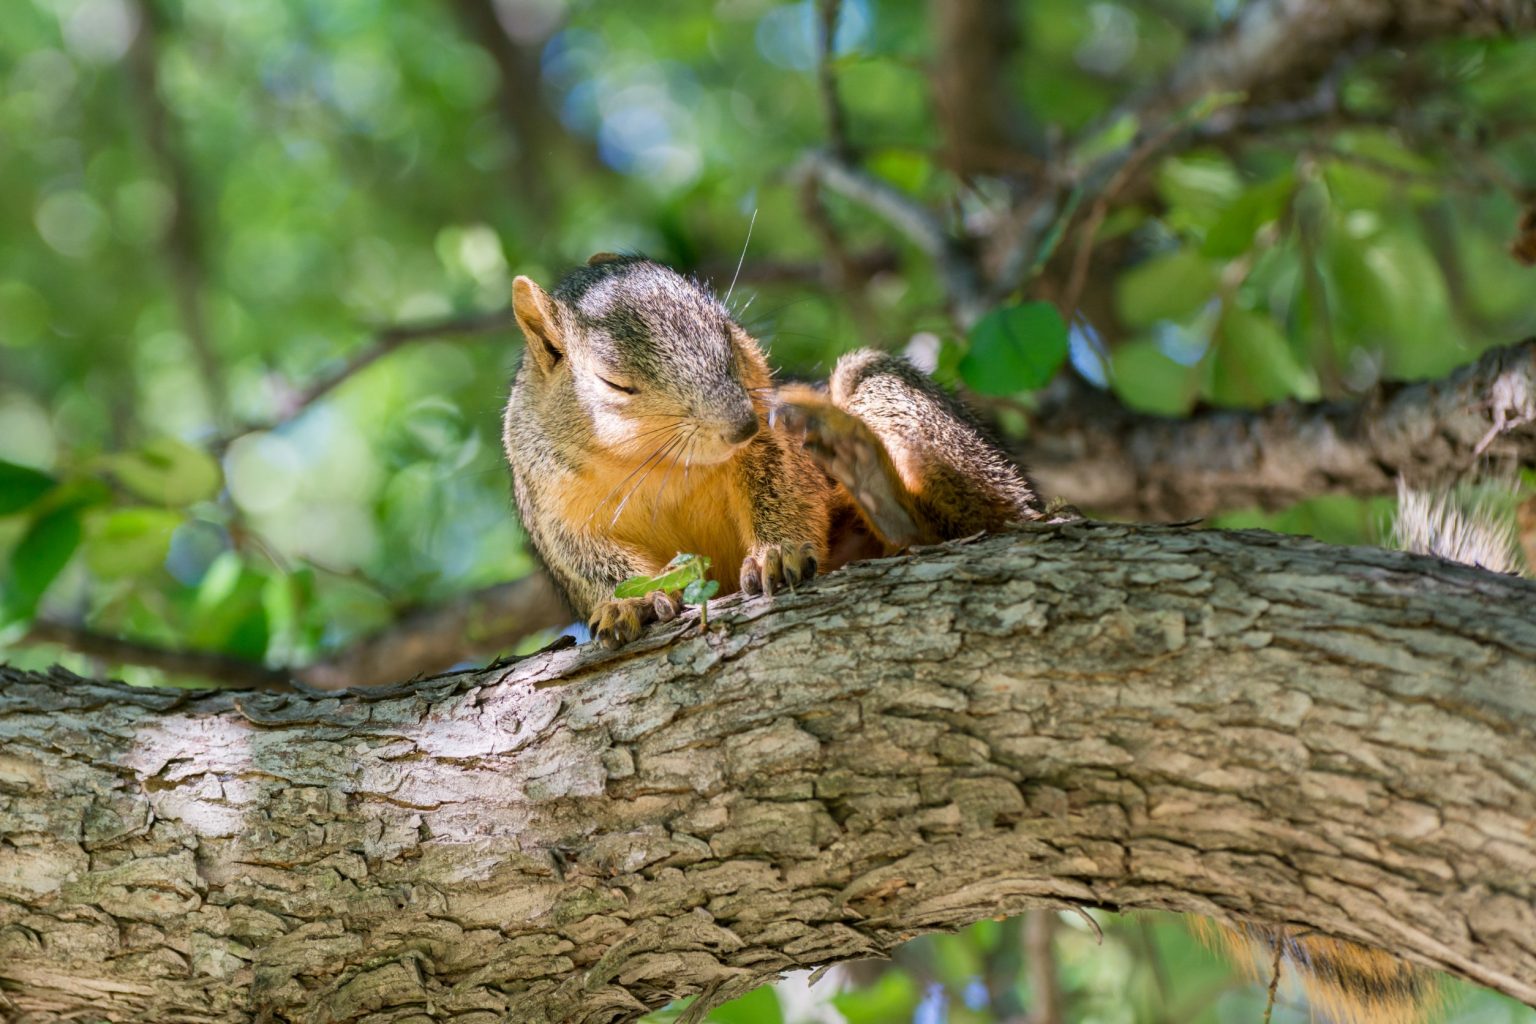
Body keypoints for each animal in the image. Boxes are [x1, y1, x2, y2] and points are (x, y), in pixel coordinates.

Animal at [500, 253, 1046, 648]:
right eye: (615, 384)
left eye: (729, 332)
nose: (742, 425)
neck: (658, 463)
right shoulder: (553, 509)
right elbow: (590, 563)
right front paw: (627, 603)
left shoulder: (771, 441)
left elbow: (783, 490)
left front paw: (776, 556)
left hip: (904, 406)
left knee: (982, 514)